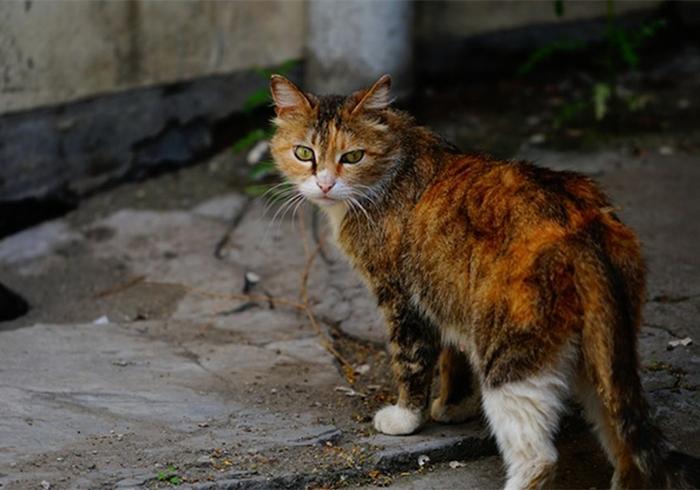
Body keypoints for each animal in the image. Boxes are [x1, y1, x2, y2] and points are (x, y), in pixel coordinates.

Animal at [268, 73, 700, 490]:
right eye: (304, 153)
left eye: (353, 156)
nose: (325, 184)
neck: (395, 166)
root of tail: (583, 228)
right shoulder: (445, 289)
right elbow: (453, 352)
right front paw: (453, 405)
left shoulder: (401, 297)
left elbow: (411, 361)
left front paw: (406, 418)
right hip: (603, 355)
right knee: (626, 449)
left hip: (510, 353)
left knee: (537, 459)